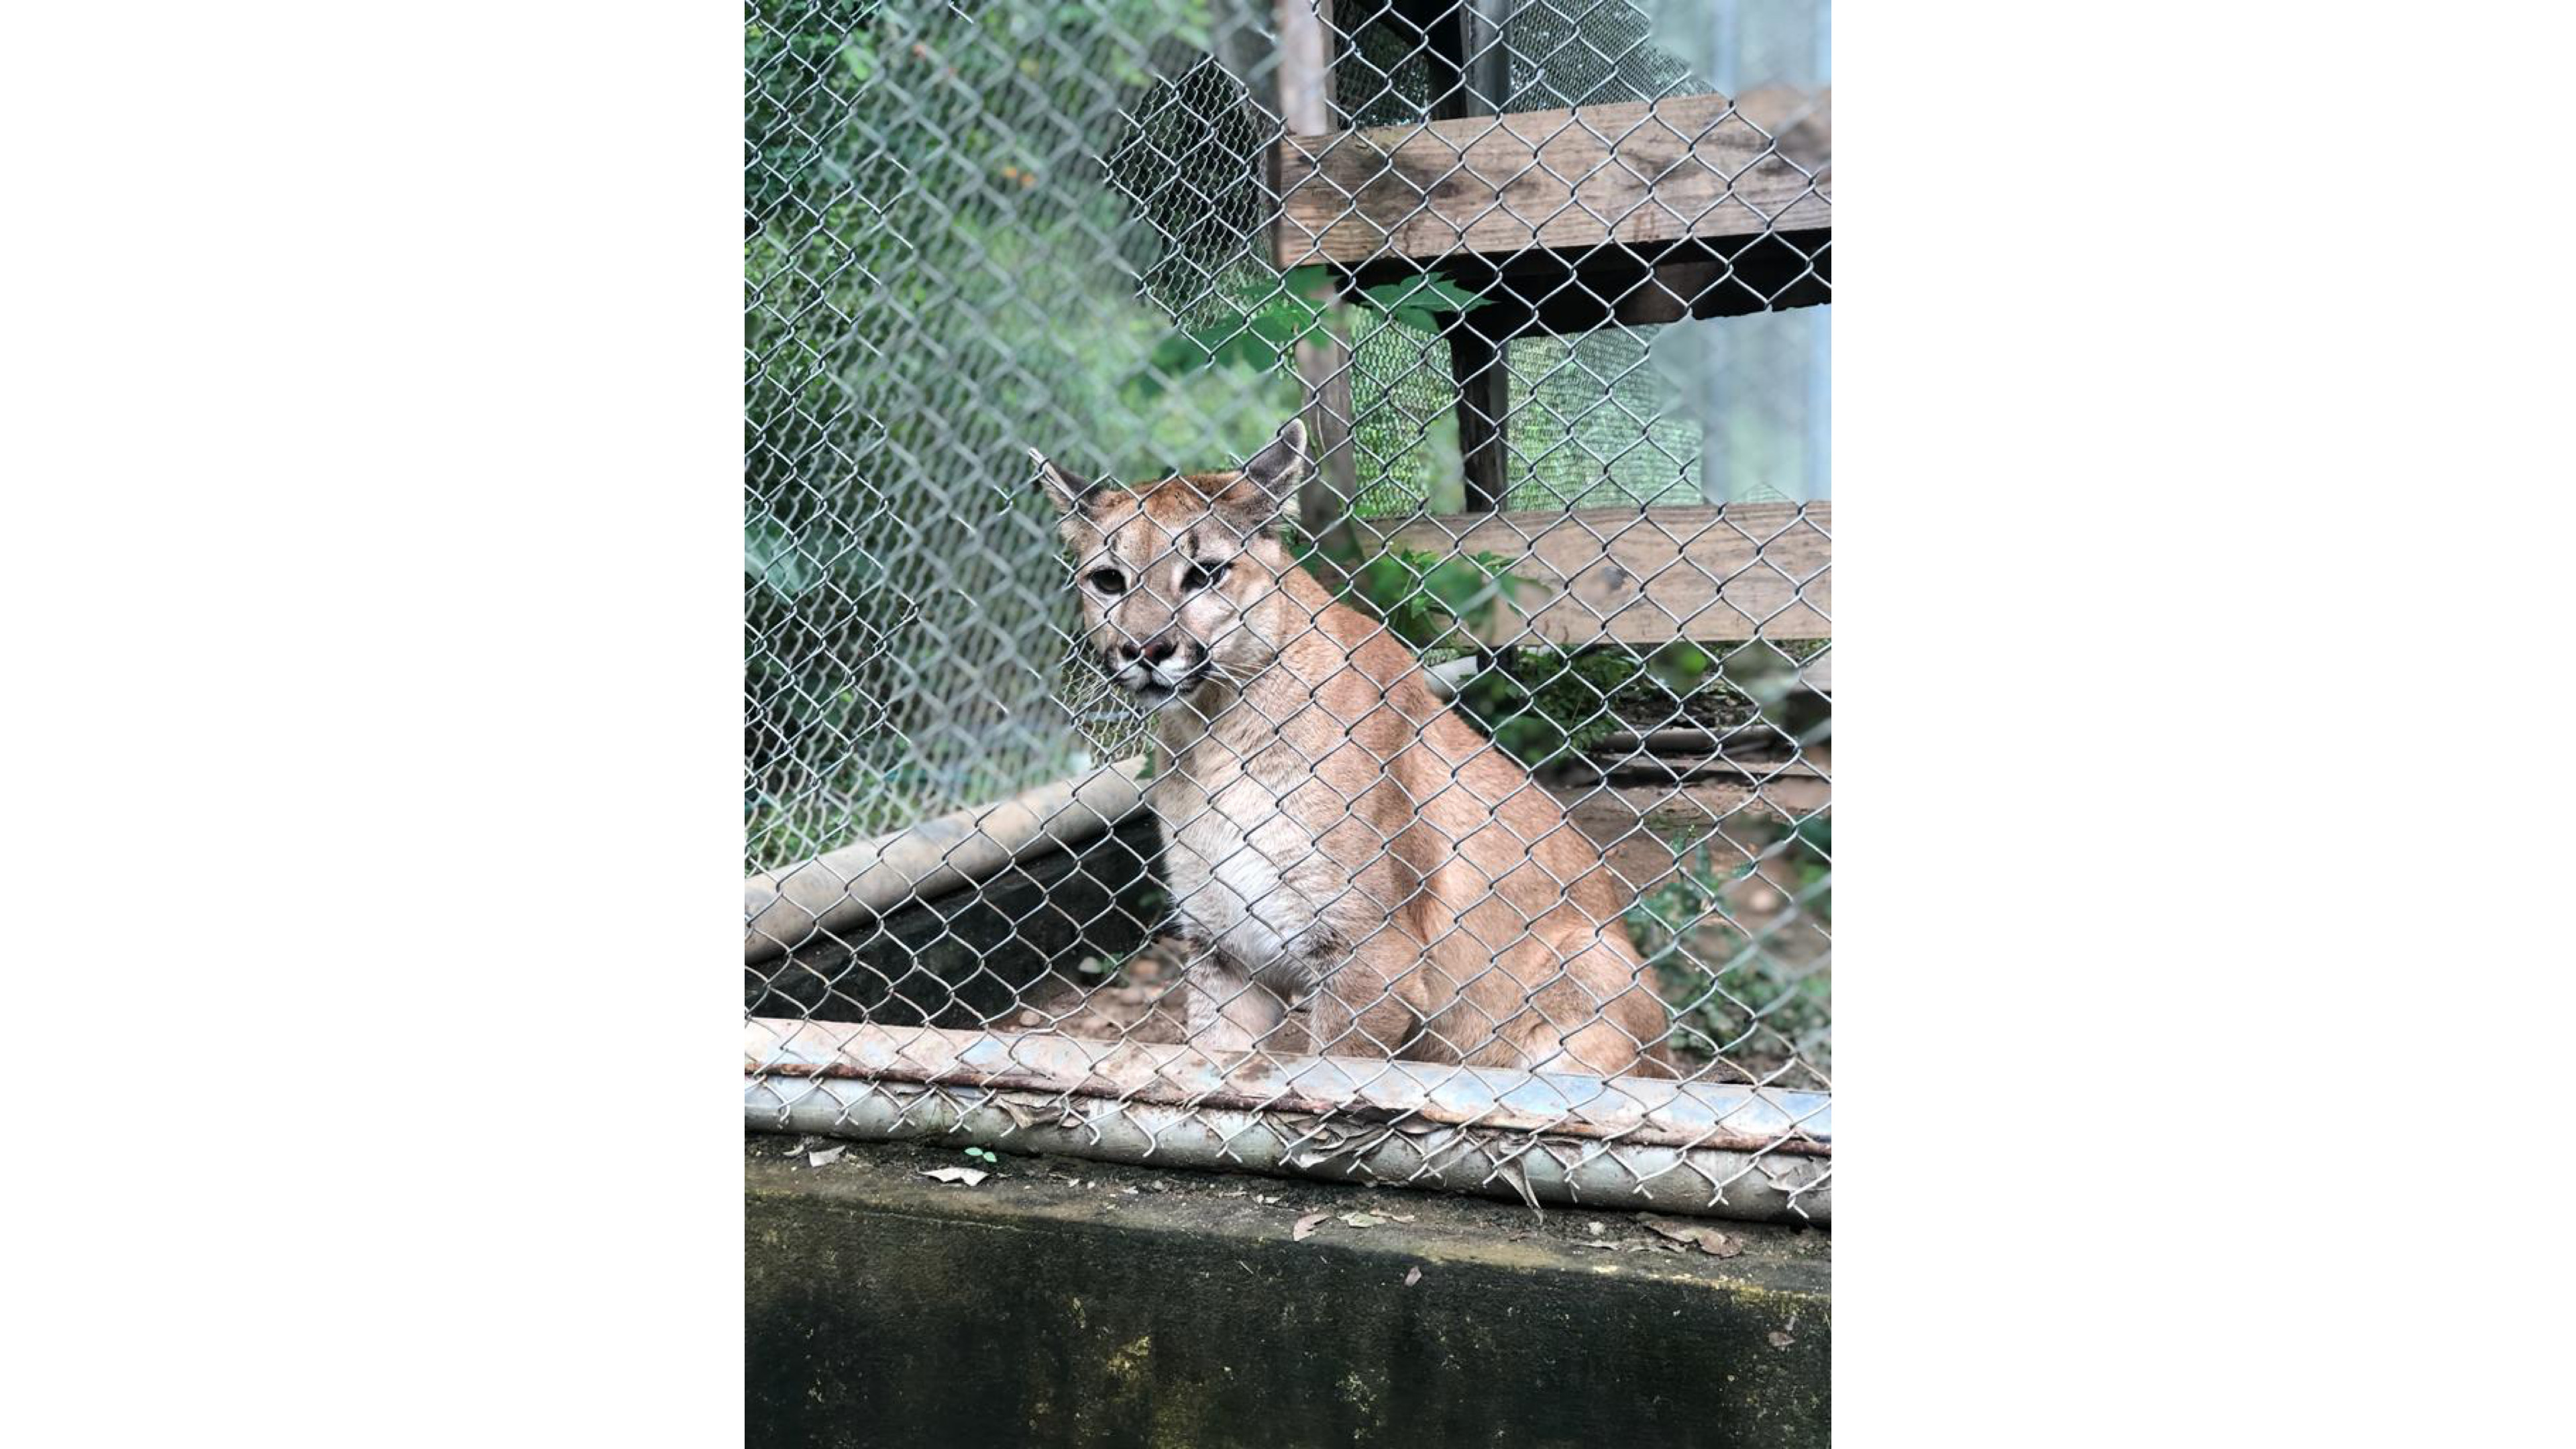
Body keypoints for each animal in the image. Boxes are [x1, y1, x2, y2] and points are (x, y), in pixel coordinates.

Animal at [1035, 417, 1679, 1072]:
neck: (1213, 730)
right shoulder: (1223, 948)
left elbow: (1327, 1082)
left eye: (1206, 573)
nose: (1145, 649)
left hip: (1591, 961)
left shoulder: (1370, 956)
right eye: (1109, 580)